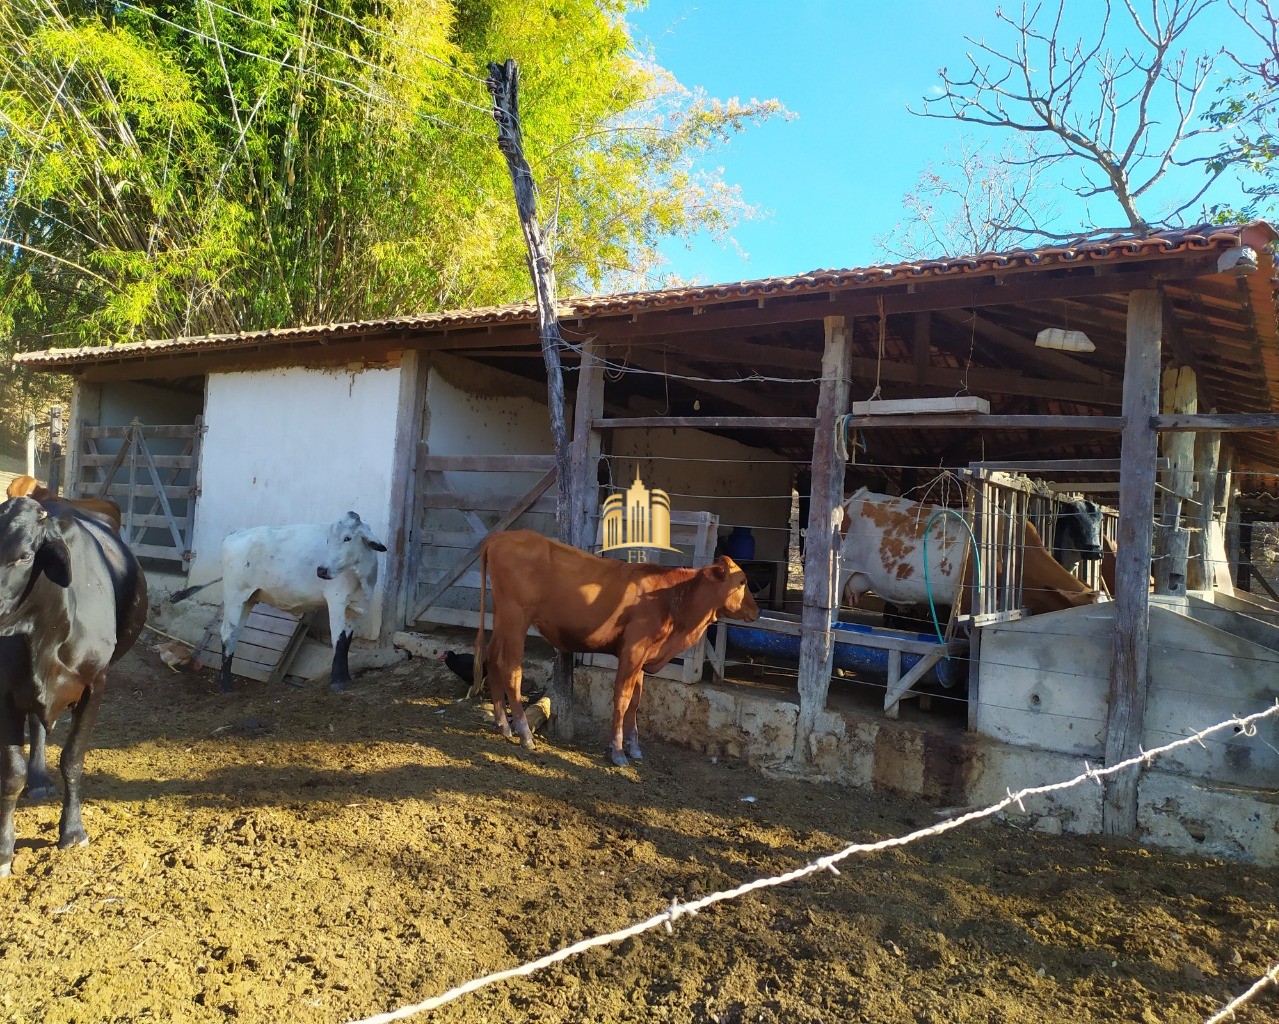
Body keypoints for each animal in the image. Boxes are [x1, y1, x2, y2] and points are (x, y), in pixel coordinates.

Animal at [0, 490, 147, 874]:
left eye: (24, 556)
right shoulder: (6, 691)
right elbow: (11, 775)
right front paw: (4, 850)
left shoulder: (97, 685)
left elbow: (72, 759)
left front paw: (72, 830)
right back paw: (37, 779)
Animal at [217, 511, 386, 695]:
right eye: (328, 540)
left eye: (347, 538)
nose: (322, 570)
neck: (362, 578)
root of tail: (237, 533)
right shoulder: (336, 600)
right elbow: (338, 639)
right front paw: (337, 681)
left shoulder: (352, 608)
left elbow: (346, 642)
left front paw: (346, 679)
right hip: (234, 595)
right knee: (227, 633)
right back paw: (225, 685)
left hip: (248, 599)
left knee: (235, 633)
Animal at [478, 531, 757, 761]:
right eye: (742, 581)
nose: (756, 610)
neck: (669, 597)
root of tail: (501, 536)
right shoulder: (632, 651)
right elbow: (622, 699)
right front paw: (618, 751)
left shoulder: (643, 658)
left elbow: (635, 701)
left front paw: (635, 748)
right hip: (516, 619)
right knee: (511, 669)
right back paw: (525, 734)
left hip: (502, 618)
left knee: (491, 659)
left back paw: (503, 725)